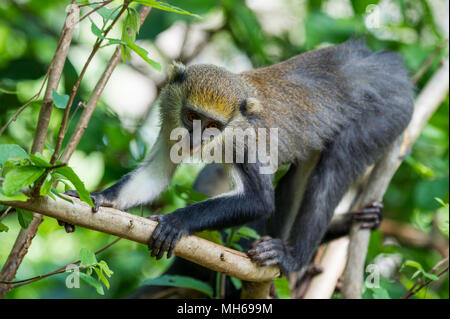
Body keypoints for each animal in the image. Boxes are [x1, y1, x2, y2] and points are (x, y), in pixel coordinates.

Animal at [64, 39, 414, 276]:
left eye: (213, 126)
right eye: (192, 117)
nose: (195, 139)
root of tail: (382, 64)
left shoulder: (245, 141)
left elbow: (259, 200)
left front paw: (177, 222)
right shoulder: (169, 117)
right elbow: (156, 176)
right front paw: (98, 197)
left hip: (388, 112)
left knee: (333, 169)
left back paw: (291, 258)